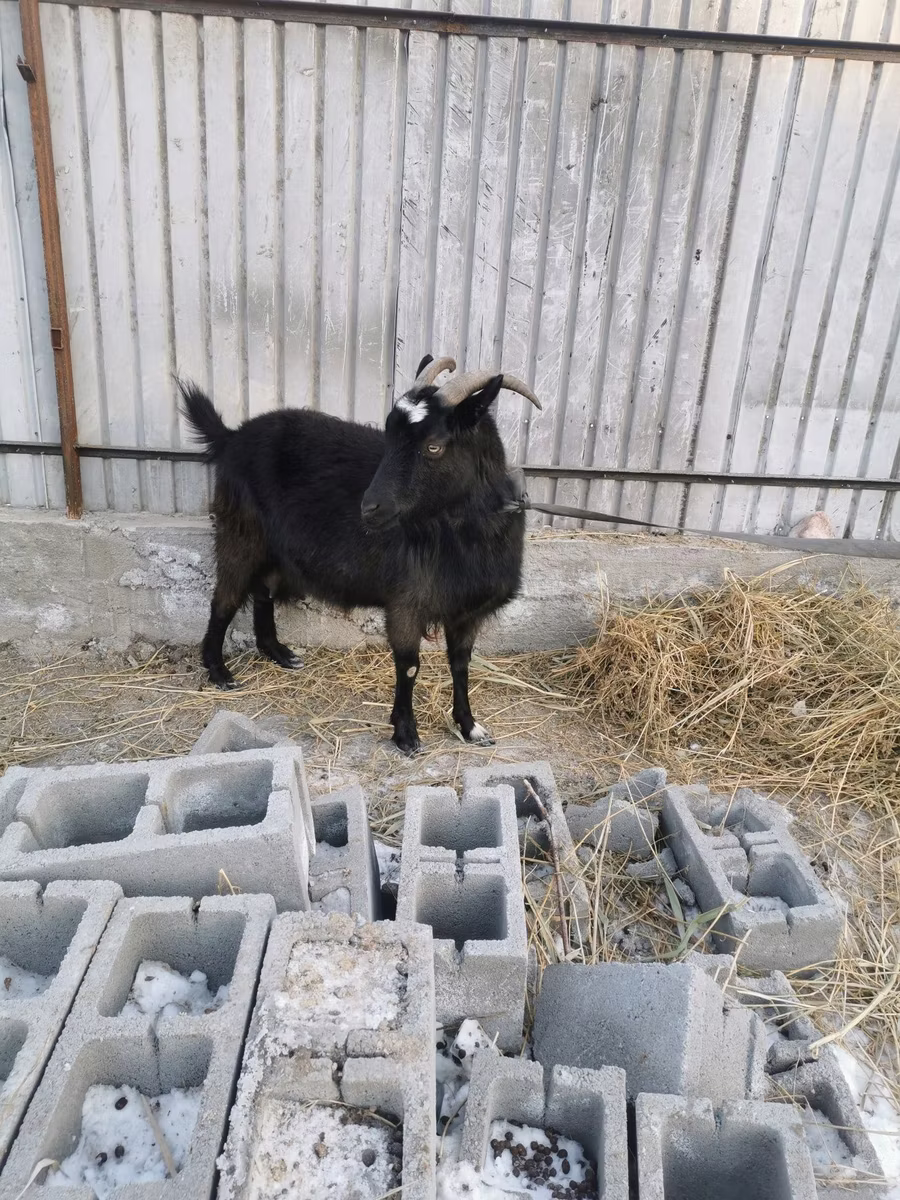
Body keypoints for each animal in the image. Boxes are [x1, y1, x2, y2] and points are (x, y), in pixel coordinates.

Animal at [179, 356, 541, 754]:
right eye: (390, 436)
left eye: (434, 446)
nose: (369, 508)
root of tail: (232, 436)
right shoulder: (405, 600)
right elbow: (409, 665)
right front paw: (406, 734)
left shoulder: (467, 611)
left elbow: (461, 665)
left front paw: (470, 727)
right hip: (241, 534)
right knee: (224, 599)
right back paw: (219, 672)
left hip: (275, 549)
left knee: (264, 592)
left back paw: (279, 653)